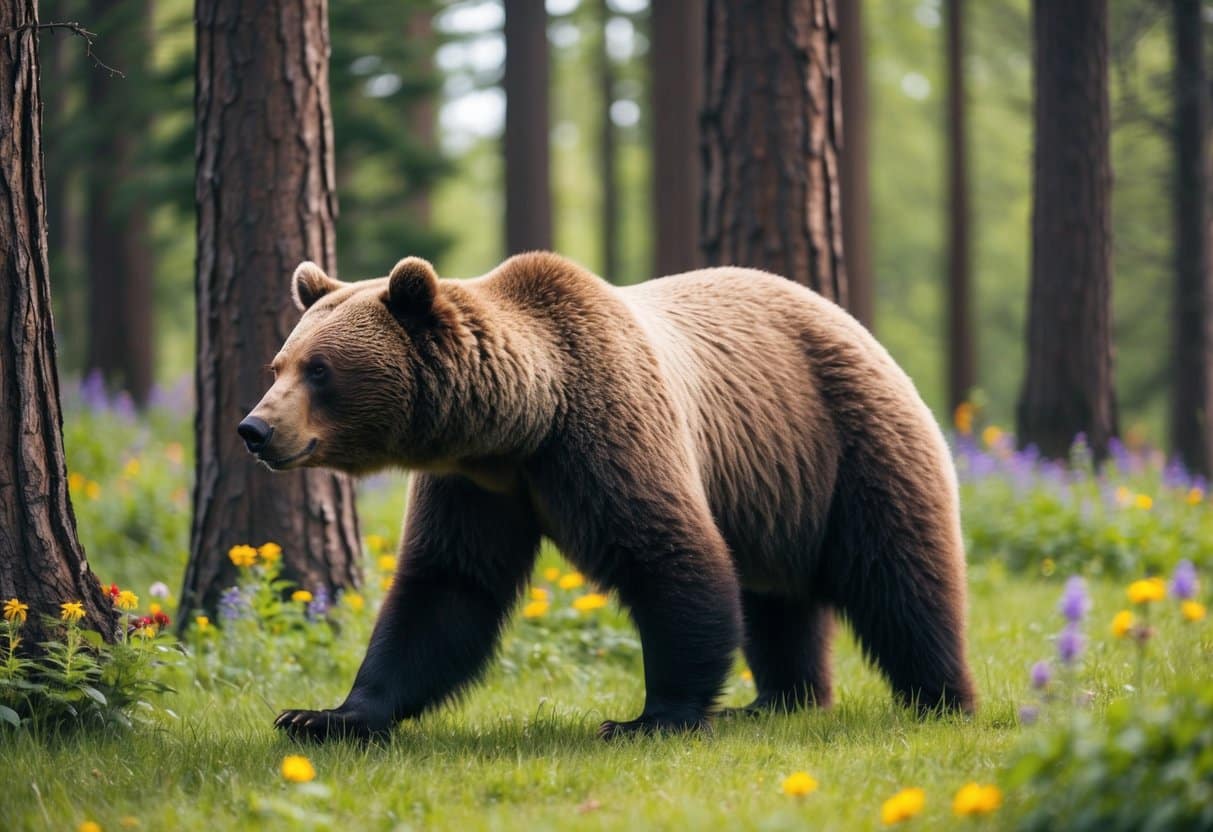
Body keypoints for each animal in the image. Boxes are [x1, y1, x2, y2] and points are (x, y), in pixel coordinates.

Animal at [238, 251, 976, 741]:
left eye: (320, 370)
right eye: (279, 364)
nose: (255, 428)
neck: (523, 424)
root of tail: (849, 319)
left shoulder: (604, 433)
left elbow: (669, 556)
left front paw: (651, 717)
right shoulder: (475, 486)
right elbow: (445, 589)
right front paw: (323, 714)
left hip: (848, 444)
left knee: (902, 578)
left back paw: (942, 697)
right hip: (773, 491)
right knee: (777, 601)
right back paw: (779, 699)